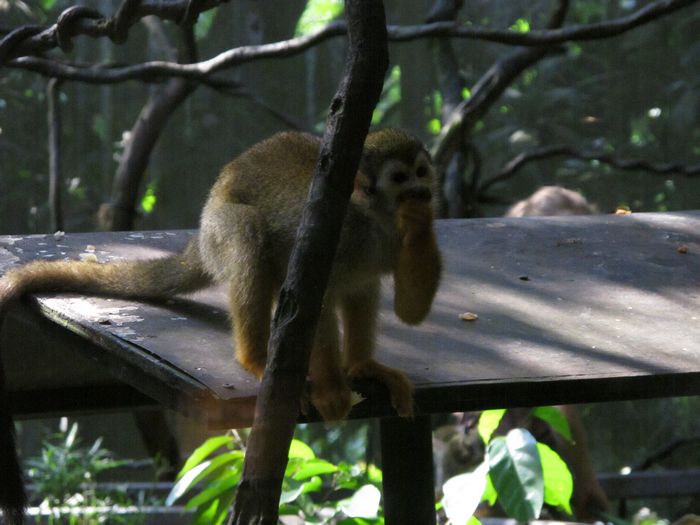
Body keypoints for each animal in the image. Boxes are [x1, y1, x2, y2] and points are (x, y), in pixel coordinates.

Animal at [0, 129, 440, 420]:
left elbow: (411, 310)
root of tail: (201, 229)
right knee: (247, 234)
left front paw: (422, 224)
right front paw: (331, 388)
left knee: (363, 286)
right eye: (400, 179)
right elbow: (312, 297)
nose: (422, 192)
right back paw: (257, 359)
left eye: (421, 172)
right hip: (219, 226)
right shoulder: (334, 235)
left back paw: (363, 365)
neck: (375, 221)